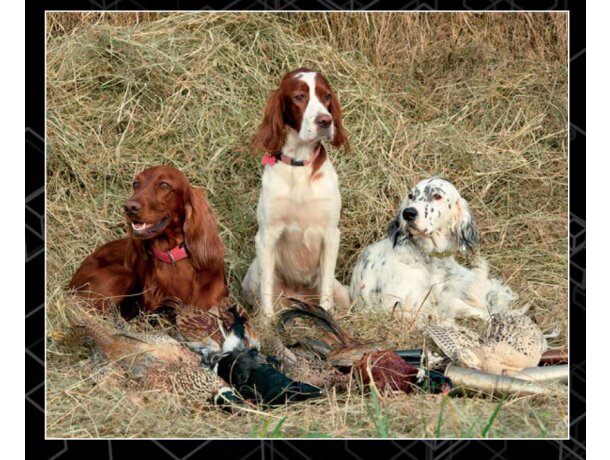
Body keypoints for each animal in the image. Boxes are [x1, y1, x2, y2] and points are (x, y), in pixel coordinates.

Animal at [241, 68, 350, 320]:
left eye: (326, 96)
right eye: (300, 97)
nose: (325, 121)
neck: (300, 165)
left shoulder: (331, 234)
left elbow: (326, 290)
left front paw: (326, 315)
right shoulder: (266, 235)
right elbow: (267, 289)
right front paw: (267, 321)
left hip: (343, 292)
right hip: (251, 277)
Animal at [350, 177, 516, 328]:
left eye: (437, 196)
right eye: (411, 196)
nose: (408, 213)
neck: (430, 259)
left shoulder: (445, 299)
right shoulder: (393, 309)